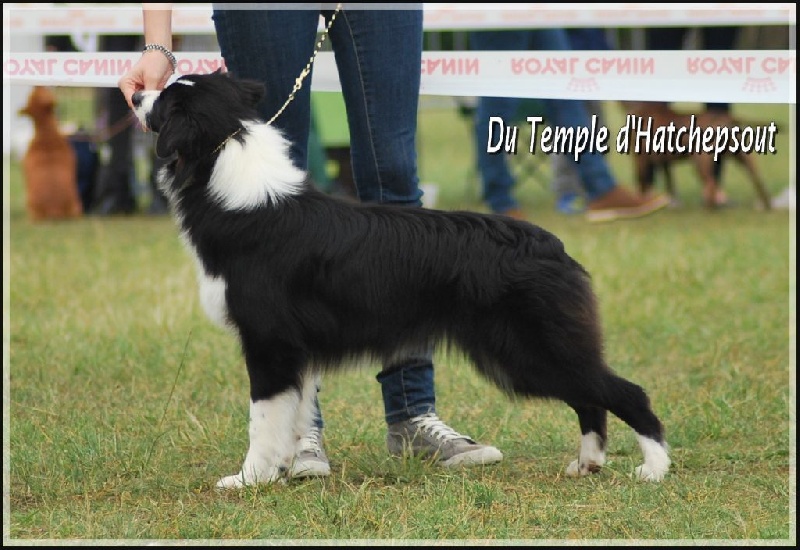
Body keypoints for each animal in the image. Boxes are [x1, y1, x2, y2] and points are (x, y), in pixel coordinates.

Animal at [131, 71, 671, 489]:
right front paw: (286, 468)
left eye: (165, 100)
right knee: (589, 398)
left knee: (624, 392)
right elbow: (294, 415)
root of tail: (551, 244)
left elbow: (262, 420)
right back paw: (588, 463)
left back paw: (654, 469)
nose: (134, 95)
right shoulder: (295, 350)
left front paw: (248, 479)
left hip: (529, 349)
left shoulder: (269, 342)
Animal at [624, 101, 773, 210]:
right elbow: (669, 182)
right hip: (742, 156)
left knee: (711, 184)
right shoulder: (663, 161)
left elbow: (642, 183)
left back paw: (708, 209)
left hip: (700, 160)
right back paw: (766, 206)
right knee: (758, 179)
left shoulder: (640, 159)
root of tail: (725, 117)